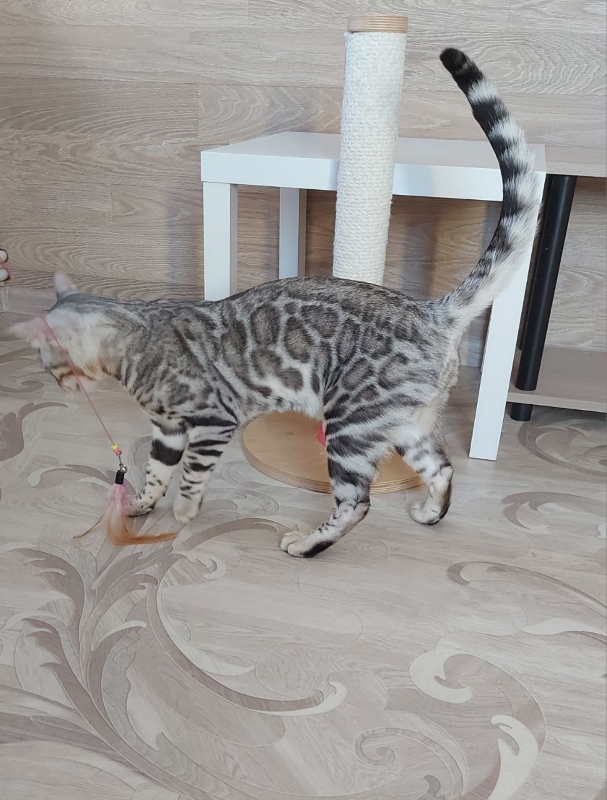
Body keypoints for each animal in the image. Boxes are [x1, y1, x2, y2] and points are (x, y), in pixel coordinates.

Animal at [11, 49, 540, 557]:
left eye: (48, 359)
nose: (55, 382)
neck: (137, 342)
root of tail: (434, 312)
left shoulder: (212, 421)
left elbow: (191, 475)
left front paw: (184, 511)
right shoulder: (167, 431)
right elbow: (158, 473)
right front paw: (141, 503)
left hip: (350, 425)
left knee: (357, 502)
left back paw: (307, 544)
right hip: (406, 424)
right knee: (442, 468)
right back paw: (430, 513)